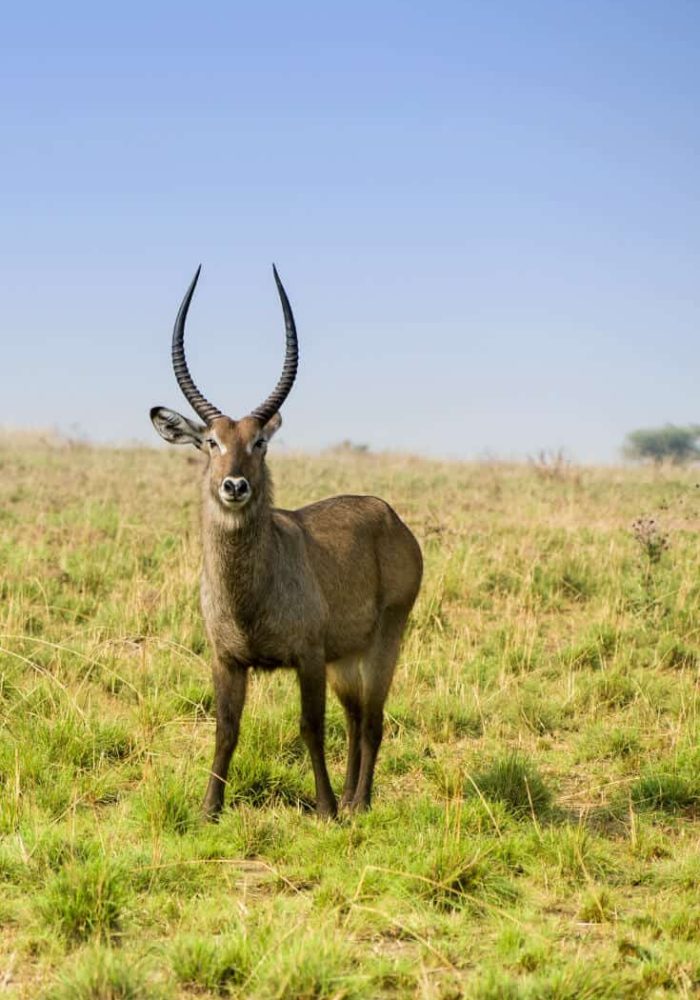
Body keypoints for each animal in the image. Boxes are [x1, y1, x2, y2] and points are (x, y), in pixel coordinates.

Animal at [150, 270, 422, 816]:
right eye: (210, 441)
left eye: (260, 442)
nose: (234, 486)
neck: (249, 594)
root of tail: (389, 514)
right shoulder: (227, 659)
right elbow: (226, 730)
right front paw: (209, 809)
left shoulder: (308, 656)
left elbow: (310, 727)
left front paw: (325, 809)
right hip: (346, 658)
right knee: (356, 718)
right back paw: (352, 798)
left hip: (385, 638)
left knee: (373, 719)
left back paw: (357, 804)